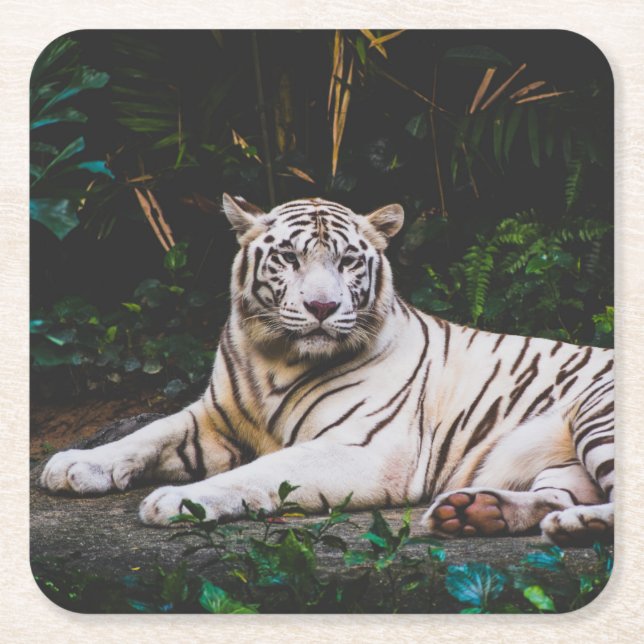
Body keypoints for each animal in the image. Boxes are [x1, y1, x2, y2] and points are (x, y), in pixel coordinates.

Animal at [39, 194, 615, 546]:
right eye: (289, 258)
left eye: (347, 262)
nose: (321, 306)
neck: (275, 358)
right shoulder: (214, 418)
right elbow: (149, 433)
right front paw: (74, 464)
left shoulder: (365, 449)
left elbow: (260, 473)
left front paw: (179, 501)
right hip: (562, 463)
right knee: (555, 494)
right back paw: (478, 514)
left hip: (597, 414)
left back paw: (576, 524)